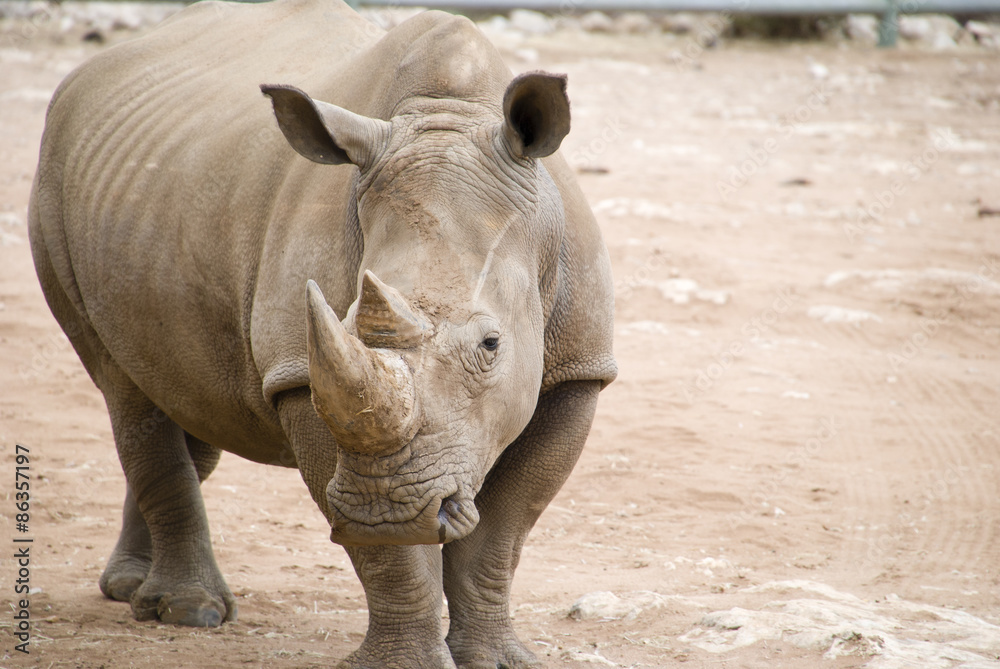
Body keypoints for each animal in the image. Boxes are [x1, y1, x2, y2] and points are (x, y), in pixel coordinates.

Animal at [28, 0, 616, 665]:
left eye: (491, 346)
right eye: (344, 323)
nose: (387, 510)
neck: (450, 116)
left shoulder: (579, 368)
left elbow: (501, 532)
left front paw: (494, 659)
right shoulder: (298, 372)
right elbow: (392, 558)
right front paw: (404, 646)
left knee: (182, 396)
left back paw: (131, 589)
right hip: (55, 187)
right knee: (124, 385)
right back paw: (187, 612)